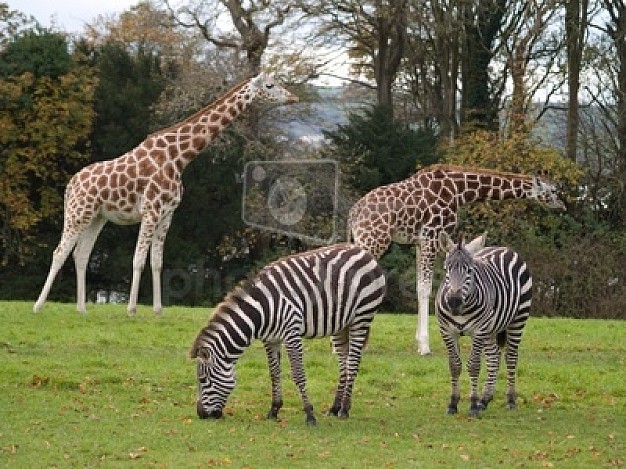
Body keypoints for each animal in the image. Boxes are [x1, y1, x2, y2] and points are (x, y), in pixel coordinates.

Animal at [33, 72, 298, 314]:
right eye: (270, 85)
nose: (293, 97)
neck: (179, 158)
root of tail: (71, 185)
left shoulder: (167, 214)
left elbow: (157, 262)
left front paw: (158, 309)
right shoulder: (151, 210)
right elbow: (139, 259)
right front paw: (131, 309)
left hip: (97, 217)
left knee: (81, 254)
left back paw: (81, 309)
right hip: (78, 213)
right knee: (59, 252)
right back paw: (38, 306)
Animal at [190, 245, 386, 424]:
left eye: (203, 380)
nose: (201, 415)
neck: (263, 310)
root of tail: (363, 251)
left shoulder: (292, 333)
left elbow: (298, 374)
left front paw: (309, 414)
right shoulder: (270, 339)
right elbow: (274, 373)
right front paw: (274, 410)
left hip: (362, 317)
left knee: (353, 362)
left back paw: (344, 409)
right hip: (341, 325)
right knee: (343, 361)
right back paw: (335, 407)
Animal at [346, 163, 564, 352]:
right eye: (553, 190)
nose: (562, 206)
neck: (459, 191)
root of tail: (353, 213)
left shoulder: (420, 242)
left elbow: (418, 286)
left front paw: (419, 341)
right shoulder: (432, 236)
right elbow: (426, 289)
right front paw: (425, 346)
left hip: (363, 239)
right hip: (374, 240)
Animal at [434, 231, 532, 416]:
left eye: (470, 270)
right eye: (446, 269)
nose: (454, 302)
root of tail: (503, 248)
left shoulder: (478, 331)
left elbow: (474, 365)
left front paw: (473, 404)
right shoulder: (447, 331)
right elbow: (454, 365)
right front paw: (453, 403)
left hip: (518, 319)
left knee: (511, 357)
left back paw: (510, 399)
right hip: (491, 329)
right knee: (494, 357)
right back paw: (485, 400)